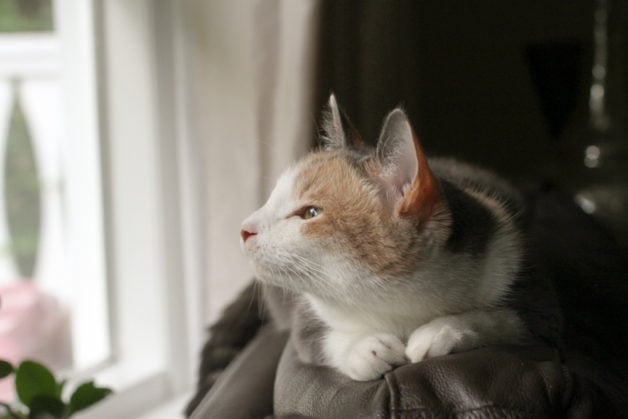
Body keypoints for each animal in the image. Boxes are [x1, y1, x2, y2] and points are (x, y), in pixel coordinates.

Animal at [238, 96, 544, 384]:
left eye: (310, 212)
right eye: (271, 198)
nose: (244, 229)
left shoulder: (511, 263)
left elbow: (512, 319)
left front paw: (440, 331)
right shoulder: (305, 313)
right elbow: (312, 337)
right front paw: (363, 347)